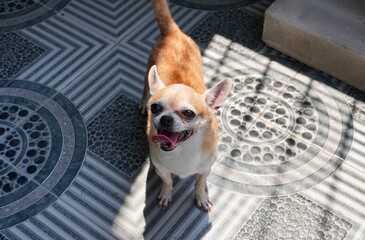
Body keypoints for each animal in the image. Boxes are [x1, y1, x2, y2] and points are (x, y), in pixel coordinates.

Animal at [139, 0, 230, 211]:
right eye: (156, 108)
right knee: (145, 89)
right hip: (148, 75)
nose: (165, 118)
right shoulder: (161, 168)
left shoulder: (205, 168)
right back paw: (142, 102)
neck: (182, 151)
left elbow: (200, 183)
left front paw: (201, 197)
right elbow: (168, 181)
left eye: (189, 113)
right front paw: (166, 194)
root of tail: (173, 33)